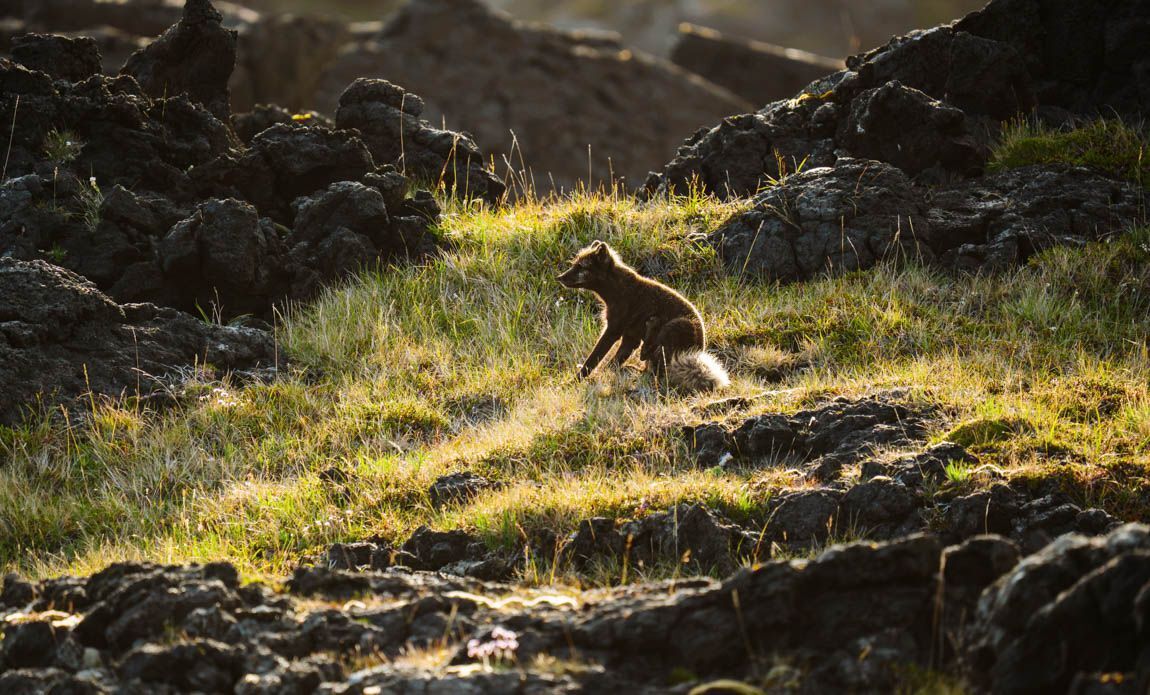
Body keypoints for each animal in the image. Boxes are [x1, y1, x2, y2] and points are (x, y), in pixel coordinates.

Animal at [557, 240, 730, 392]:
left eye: (581, 266)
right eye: (574, 263)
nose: (559, 277)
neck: (617, 288)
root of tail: (698, 350)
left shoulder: (614, 329)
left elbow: (594, 358)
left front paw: (574, 381)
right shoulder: (629, 337)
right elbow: (616, 360)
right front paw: (604, 373)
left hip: (676, 326)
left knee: (654, 361)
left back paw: (652, 326)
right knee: (648, 365)